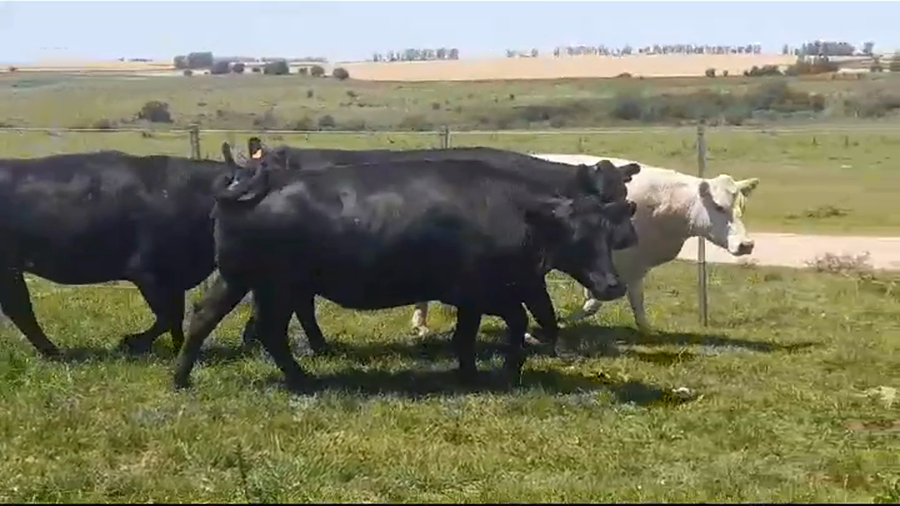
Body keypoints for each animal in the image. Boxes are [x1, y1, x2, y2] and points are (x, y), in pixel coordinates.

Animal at [0, 151, 257, 357]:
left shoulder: (174, 279)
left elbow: (176, 317)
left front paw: (177, 348)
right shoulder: (150, 273)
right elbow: (168, 316)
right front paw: (131, 343)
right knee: (20, 309)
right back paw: (54, 352)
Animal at [173, 155, 637, 391]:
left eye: (604, 229)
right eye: (577, 236)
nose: (612, 284)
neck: (512, 211)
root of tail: (258, 181)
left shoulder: (481, 295)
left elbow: (480, 331)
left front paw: (479, 372)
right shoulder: (482, 290)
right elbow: (511, 321)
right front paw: (500, 370)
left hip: (243, 281)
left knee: (206, 319)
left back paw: (182, 378)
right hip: (272, 285)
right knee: (264, 330)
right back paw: (300, 379)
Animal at [412, 153, 759, 335]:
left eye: (741, 205)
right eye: (718, 207)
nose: (746, 245)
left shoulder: (633, 265)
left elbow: (634, 300)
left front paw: (646, 329)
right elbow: (594, 303)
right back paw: (421, 323)